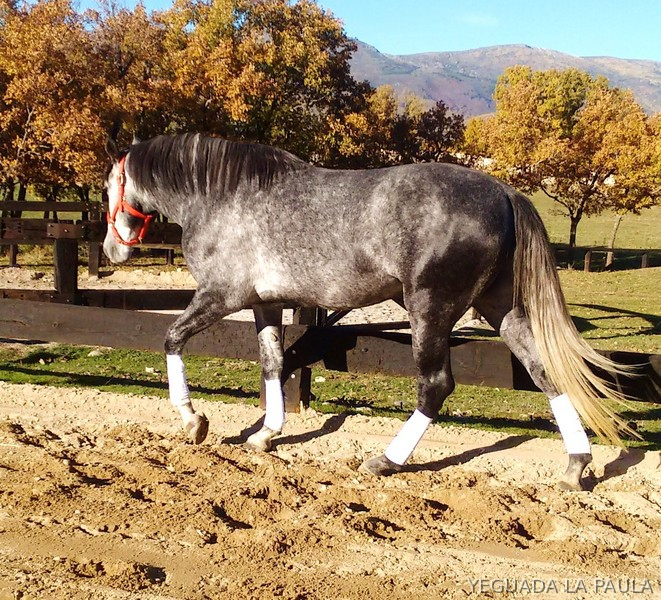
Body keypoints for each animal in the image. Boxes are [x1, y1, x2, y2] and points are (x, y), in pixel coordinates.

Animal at [103, 133, 635, 491]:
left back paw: (386, 460)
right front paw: (266, 435)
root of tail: (505, 192)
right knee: (544, 370)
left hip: (430, 308)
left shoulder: (220, 295)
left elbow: (172, 338)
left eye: (111, 184)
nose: (112, 249)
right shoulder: (265, 303)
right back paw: (575, 464)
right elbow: (273, 364)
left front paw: (192, 420)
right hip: (501, 307)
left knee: (436, 385)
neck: (224, 197)